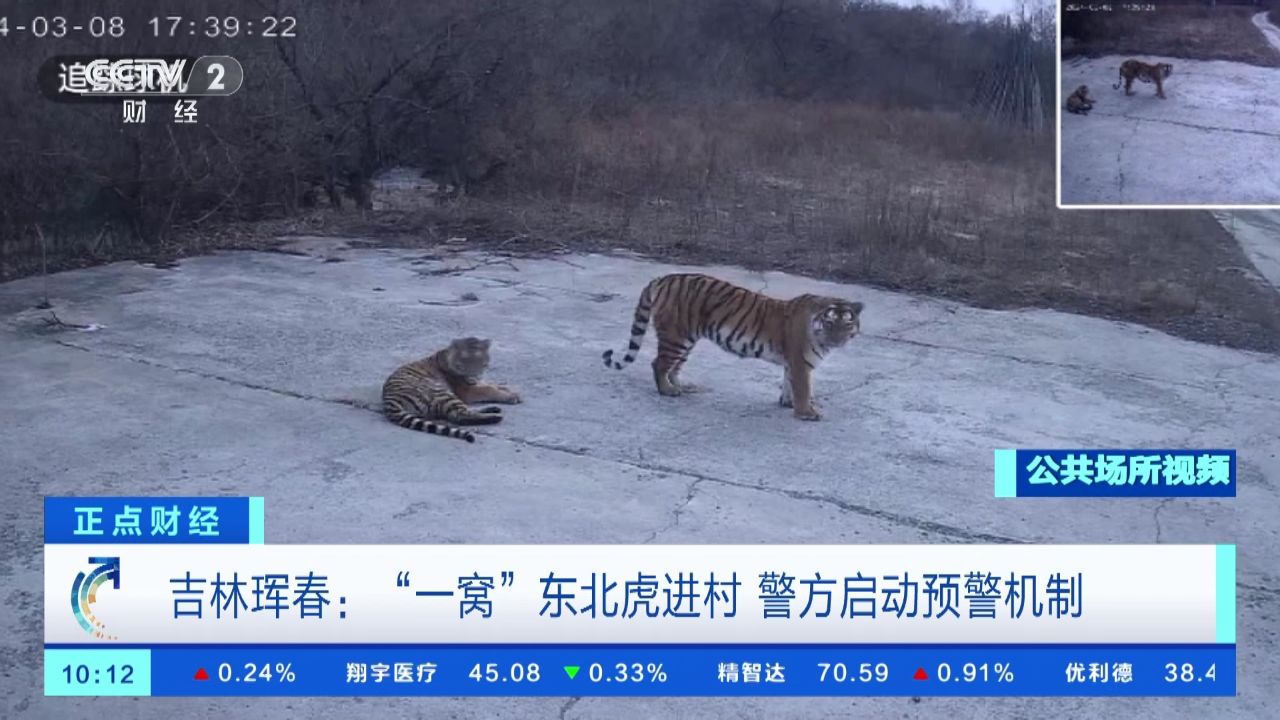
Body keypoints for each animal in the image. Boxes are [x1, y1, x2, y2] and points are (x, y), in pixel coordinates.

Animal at [382, 337, 521, 442]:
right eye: (466, 359)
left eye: (479, 359)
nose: (473, 372)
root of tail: (389, 400)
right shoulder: (467, 390)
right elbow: (488, 389)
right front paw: (512, 396)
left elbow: (491, 385)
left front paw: (508, 390)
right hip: (441, 391)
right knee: (459, 416)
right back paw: (496, 417)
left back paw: (493, 409)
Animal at [602, 273, 863, 421]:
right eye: (829, 322)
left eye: (846, 323)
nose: (837, 340)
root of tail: (662, 279)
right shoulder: (800, 363)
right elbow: (803, 389)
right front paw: (806, 413)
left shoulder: (792, 362)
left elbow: (788, 383)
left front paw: (787, 403)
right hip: (676, 337)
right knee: (659, 364)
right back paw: (667, 391)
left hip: (687, 340)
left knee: (674, 367)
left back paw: (682, 387)